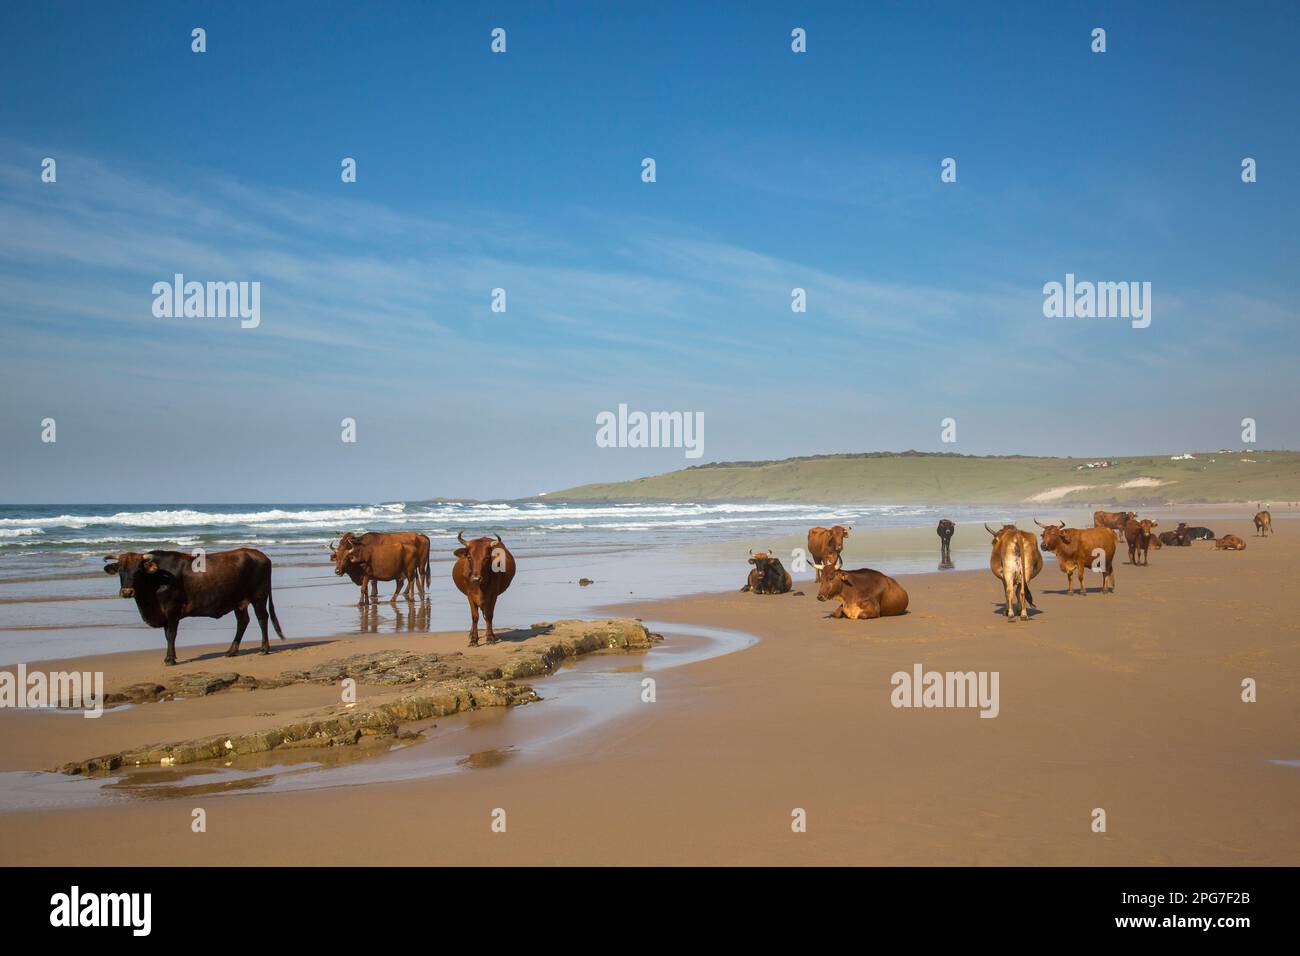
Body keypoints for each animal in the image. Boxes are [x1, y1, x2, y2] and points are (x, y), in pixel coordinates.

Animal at [103, 546, 284, 665]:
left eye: (139, 571)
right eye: (121, 570)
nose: (127, 591)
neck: (157, 579)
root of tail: (260, 555)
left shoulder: (172, 610)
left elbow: (171, 634)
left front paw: (170, 659)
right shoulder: (165, 615)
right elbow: (167, 635)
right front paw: (170, 656)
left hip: (258, 597)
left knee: (262, 618)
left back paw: (264, 648)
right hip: (239, 602)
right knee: (243, 622)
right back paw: (231, 651)